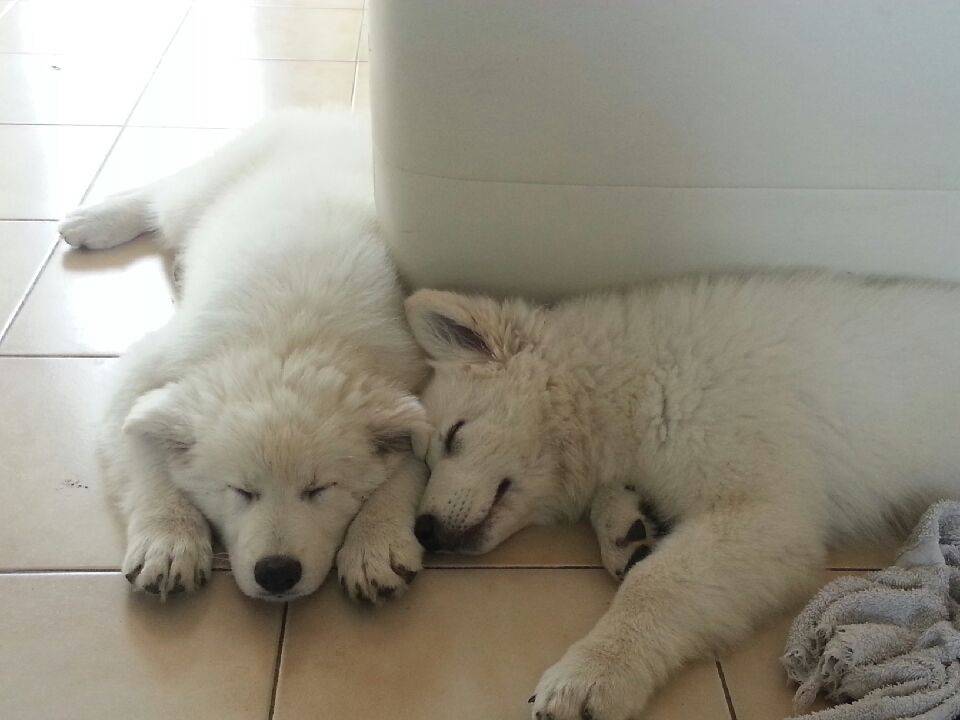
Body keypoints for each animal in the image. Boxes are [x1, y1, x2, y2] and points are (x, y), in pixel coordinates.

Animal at [59, 110, 430, 602]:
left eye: (319, 489)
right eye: (240, 490)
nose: (276, 574)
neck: (287, 347)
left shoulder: (417, 381)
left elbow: (410, 464)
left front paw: (376, 541)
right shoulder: (143, 374)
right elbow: (144, 457)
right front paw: (169, 540)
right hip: (205, 190)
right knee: (163, 192)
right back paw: (95, 219)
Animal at [403, 273, 960, 720]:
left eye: (454, 436)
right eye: (426, 459)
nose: (422, 531)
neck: (630, 378)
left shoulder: (764, 514)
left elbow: (655, 584)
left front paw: (591, 674)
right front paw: (626, 529)